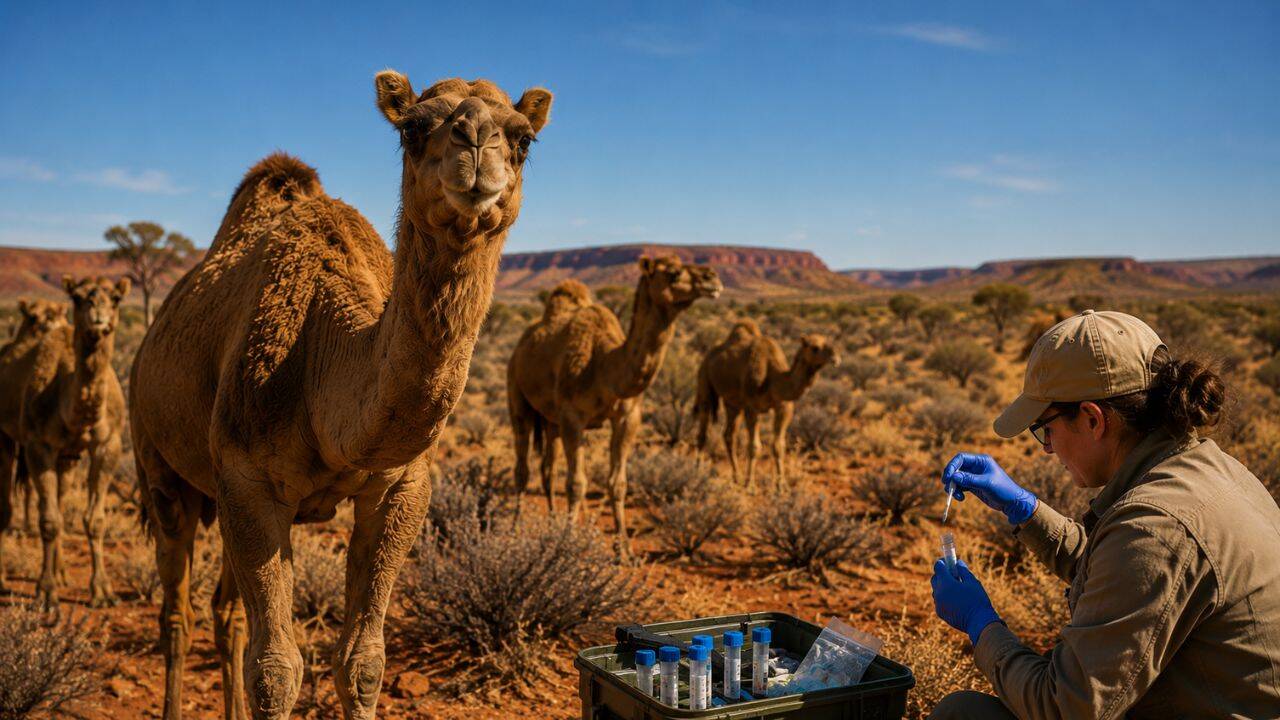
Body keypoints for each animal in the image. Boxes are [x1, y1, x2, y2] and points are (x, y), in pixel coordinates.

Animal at [0, 280, 128, 609]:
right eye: (79, 297)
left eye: (115, 298)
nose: (98, 317)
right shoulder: (38, 445)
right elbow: (49, 521)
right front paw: (45, 593)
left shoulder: (108, 445)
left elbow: (94, 520)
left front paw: (103, 591)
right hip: (5, 437)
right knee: (7, 503)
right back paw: (5, 579)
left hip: (68, 458)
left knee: (60, 495)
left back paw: (62, 573)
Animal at [128, 72, 551, 720]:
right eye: (412, 128)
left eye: (524, 138)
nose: (477, 141)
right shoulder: (248, 482)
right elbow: (275, 669)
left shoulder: (400, 486)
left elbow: (362, 662)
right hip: (159, 469)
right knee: (177, 613)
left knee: (226, 616)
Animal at [507, 258, 722, 553]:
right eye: (673, 272)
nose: (712, 278)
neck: (603, 364)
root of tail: (520, 346)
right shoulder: (572, 417)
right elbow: (576, 483)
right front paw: (566, 542)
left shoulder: (628, 417)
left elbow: (618, 483)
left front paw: (624, 551)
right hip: (518, 397)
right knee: (522, 468)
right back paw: (516, 530)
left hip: (550, 420)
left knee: (547, 469)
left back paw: (551, 521)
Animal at [694, 320, 840, 488]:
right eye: (815, 348)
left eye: (828, 342)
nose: (836, 358)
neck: (773, 377)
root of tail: (709, 356)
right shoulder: (751, 407)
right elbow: (754, 446)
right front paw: (750, 485)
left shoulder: (784, 407)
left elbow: (779, 446)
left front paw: (781, 486)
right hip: (704, 381)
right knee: (703, 431)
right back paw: (696, 470)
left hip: (733, 403)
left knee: (729, 435)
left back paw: (736, 477)